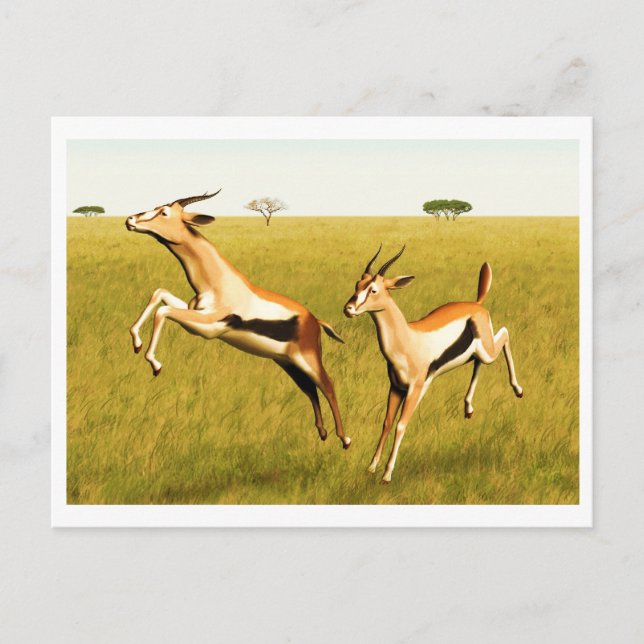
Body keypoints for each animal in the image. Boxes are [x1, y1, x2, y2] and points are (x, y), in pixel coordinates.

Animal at [125, 191, 351, 449]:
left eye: (164, 212)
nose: (130, 219)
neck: (217, 283)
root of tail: (315, 320)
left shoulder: (208, 327)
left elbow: (163, 311)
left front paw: (155, 364)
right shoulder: (195, 312)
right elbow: (159, 294)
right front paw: (136, 342)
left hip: (308, 359)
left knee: (328, 384)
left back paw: (345, 439)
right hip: (288, 363)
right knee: (310, 389)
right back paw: (322, 433)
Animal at [343, 246, 523, 483]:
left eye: (373, 290)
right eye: (357, 284)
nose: (348, 308)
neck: (408, 339)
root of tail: (477, 304)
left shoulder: (415, 388)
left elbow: (401, 425)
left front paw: (387, 475)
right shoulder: (396, 387)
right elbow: (387, 422)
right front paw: (371, 467)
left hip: (488, 350)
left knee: (506, 333)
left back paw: (518, 390)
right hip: (477, 353)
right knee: (479, 361)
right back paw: (468, 409)